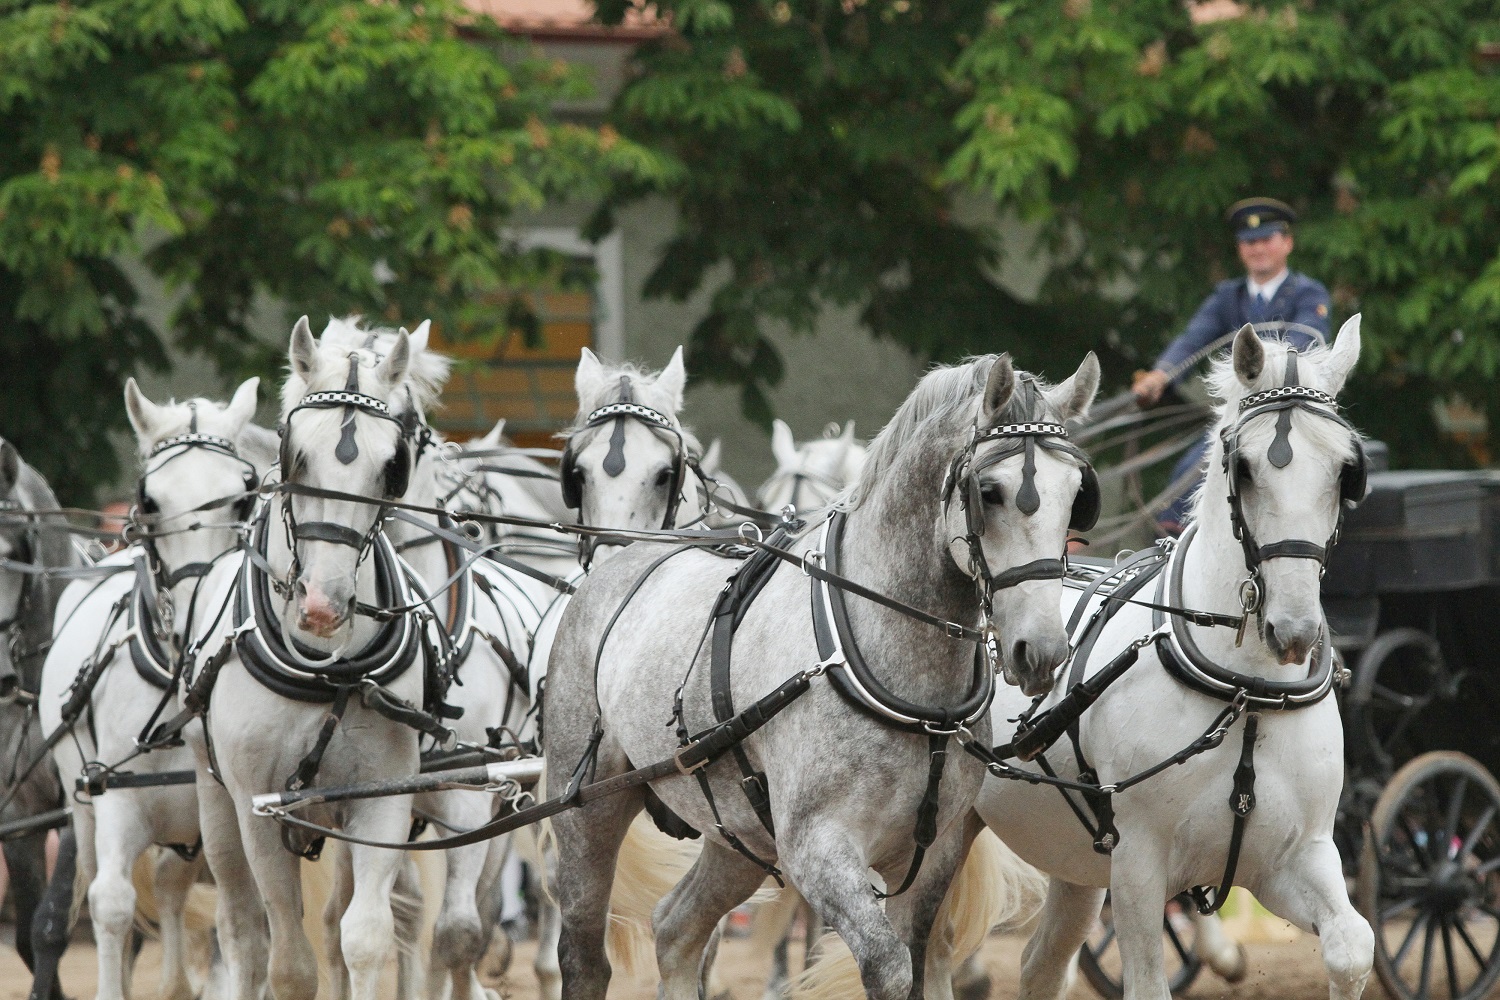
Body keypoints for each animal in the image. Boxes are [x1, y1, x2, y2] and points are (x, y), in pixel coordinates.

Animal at [37, 373, 267, 1000]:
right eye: (149, 501)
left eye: (243, 496)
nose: (198, 611)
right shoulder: (117, 803)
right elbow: (113, 905)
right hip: (83, 808)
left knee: (170, 885)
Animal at [543, 352, 1104, 1000]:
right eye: (989, 492)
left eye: (1077, 496)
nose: (1040, 650)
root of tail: (619, 563)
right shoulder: (818, 851)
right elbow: (889, 967)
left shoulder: (932, 854)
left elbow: (918, 962)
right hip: (587, 812)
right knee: (585, 955)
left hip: (739, 833)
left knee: (677, 928)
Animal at [942, 320, 1374, 1000]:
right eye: (1244, 468)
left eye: (1344, 471)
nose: (1294, 629)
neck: (1247, 693)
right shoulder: (1139, 866)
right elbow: (1147, 982)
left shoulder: (1296, 856)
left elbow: (1354, 948)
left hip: (1078, 863)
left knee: (1041, 964)